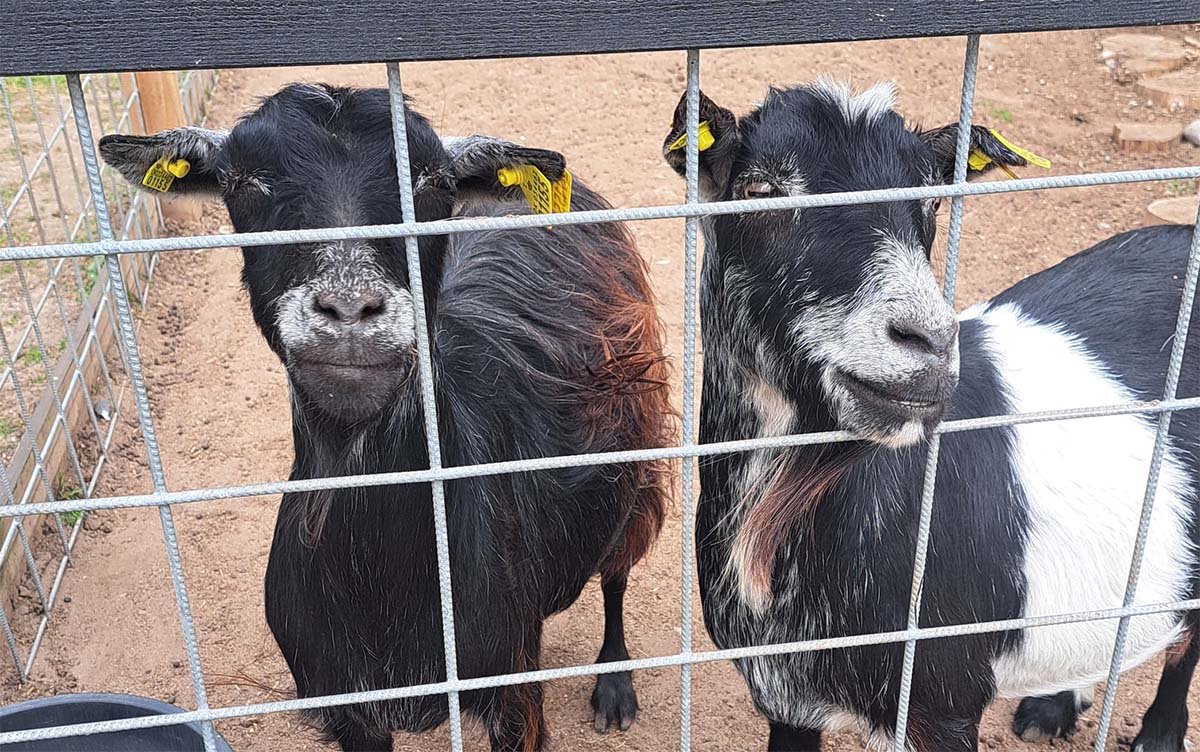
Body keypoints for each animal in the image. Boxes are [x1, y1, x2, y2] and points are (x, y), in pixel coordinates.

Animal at [100, 83, 671, 751]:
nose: (349, 311)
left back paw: (615, 685)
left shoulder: (512, 688)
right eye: (243, 185)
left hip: (639, 455)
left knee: (617, 570)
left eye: (432, 185)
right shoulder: (349, 707)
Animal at [662, 80, 1199, 751]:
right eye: (759, 192)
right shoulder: (787, 694)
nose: (930, 341)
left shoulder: (942, 700)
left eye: (933, 203)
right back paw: (1052, 705)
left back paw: (1157, 733)